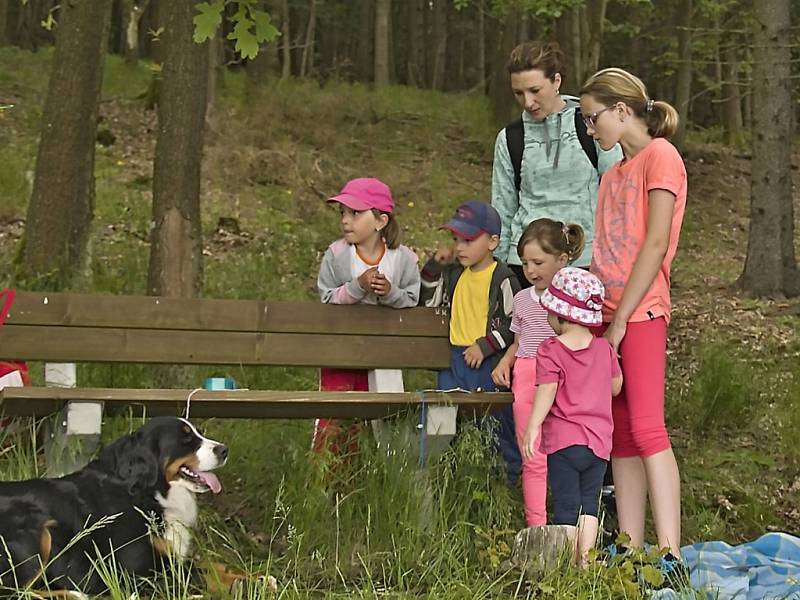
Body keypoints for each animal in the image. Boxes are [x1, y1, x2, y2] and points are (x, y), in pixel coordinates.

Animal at [0, 418, 228, 596]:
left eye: (200, 432)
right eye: (186, 439)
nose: (224, 450)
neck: (145, 492)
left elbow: (217, 567)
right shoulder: (138, 572)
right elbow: (201, 577)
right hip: (36, 532)